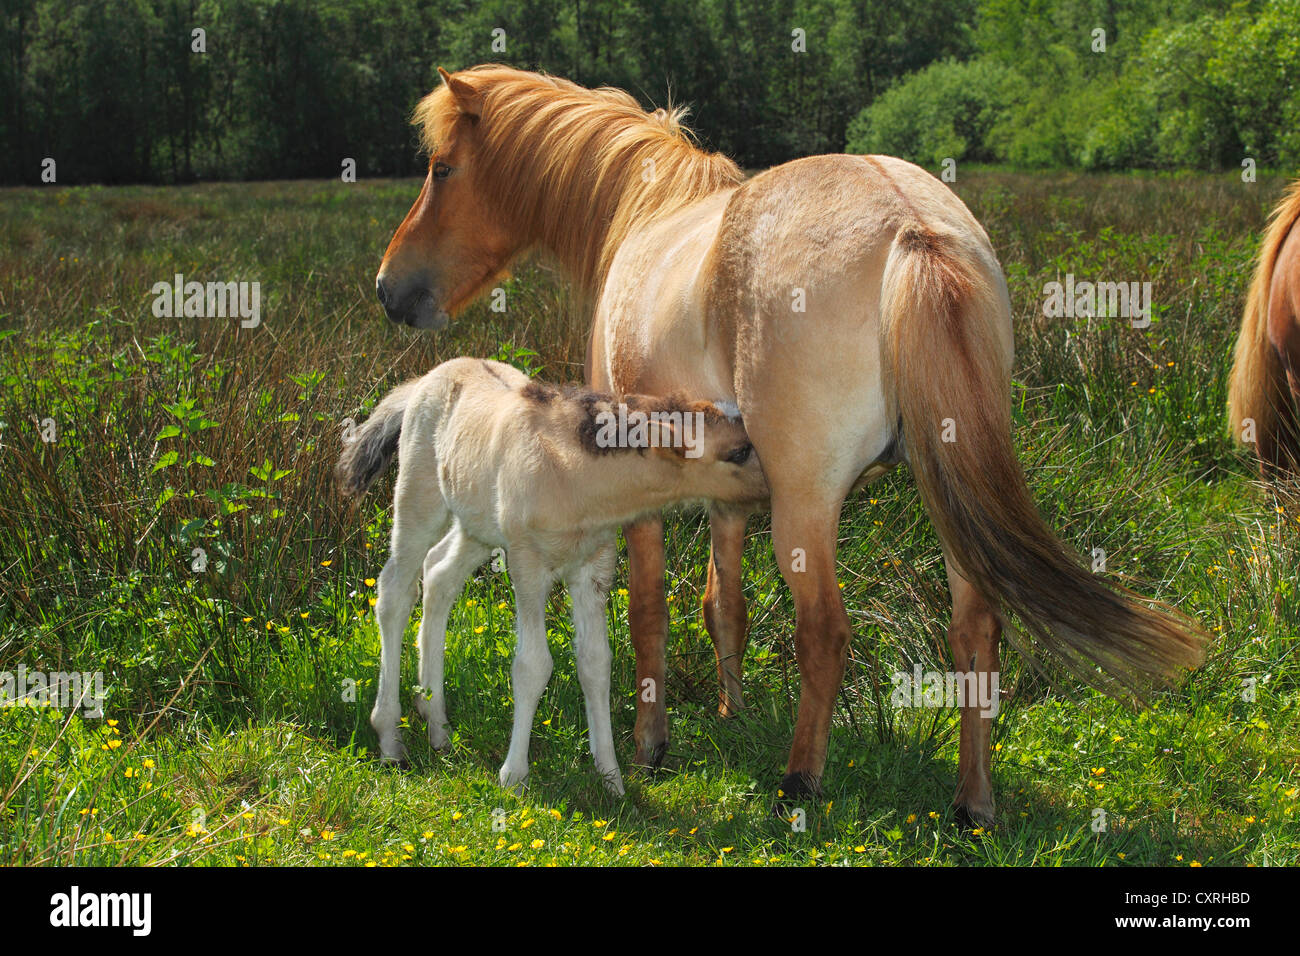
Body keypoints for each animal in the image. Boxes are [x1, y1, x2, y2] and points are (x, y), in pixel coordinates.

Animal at [335, 358, 764, 790]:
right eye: (739, 451)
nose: (773, 488)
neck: (573, 478)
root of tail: (426, 379)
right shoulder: (527, 565)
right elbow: (532, 665)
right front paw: (513, 776)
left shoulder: (593, 567)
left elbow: (596, 663)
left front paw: (611, 778)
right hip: (419, 499)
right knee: (395, 591)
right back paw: (391, 740)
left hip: (478, 525)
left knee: (439, 575)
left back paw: (437, 725)